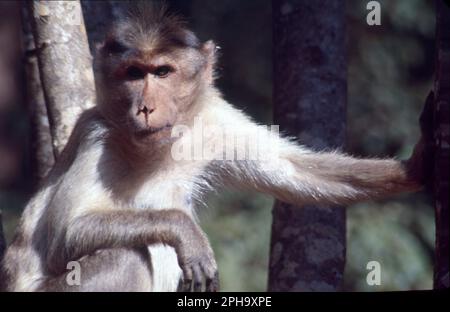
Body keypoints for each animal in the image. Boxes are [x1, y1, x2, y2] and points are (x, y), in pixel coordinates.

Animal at [0, 2, 432, 292]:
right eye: (133, 73)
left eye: (162, 72)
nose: (145, 107)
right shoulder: (96, 135)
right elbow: (62, 237)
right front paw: (186, 233)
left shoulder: (215, 119)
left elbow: (295, 172)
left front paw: (418, 165)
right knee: (126, 256)